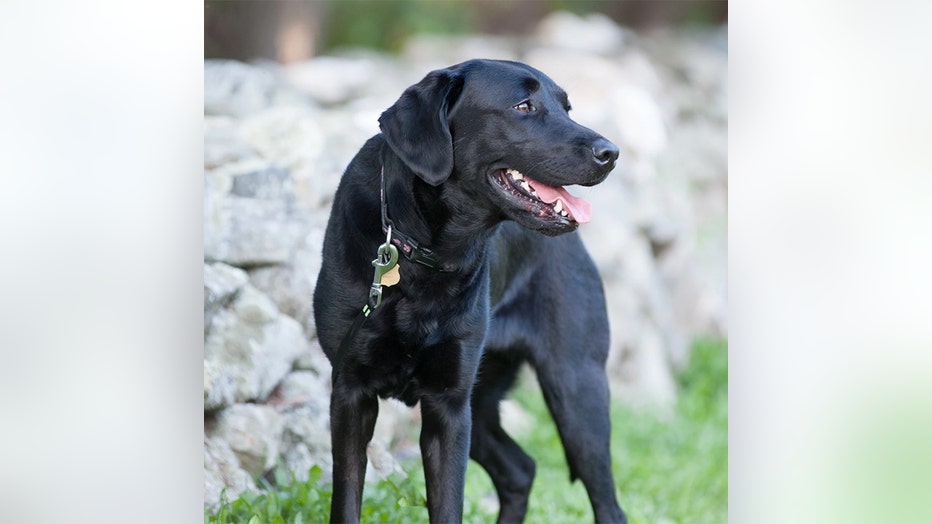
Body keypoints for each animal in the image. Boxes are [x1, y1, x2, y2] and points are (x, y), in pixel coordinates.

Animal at [314, 59, 628, 520]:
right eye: (523, 105)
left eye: (567, 108)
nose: (611, 153)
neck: (423, 251)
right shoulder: (351, 393)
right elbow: (346, 501)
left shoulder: (449, 406)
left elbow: (449, 507)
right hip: (488, 405)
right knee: (520, 469)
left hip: (575, 389)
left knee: (605, 503)